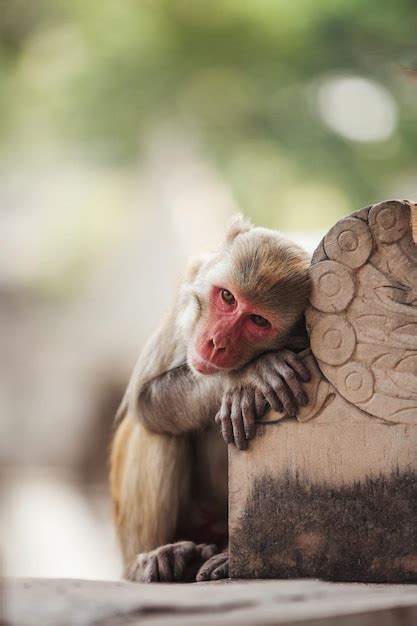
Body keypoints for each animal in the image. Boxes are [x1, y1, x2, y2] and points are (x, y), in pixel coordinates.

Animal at [109, 214, 310, 580]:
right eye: (227, 297)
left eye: (257, 320)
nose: (216, 342)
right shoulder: (191, 281)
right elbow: (144, 401)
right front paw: (250, 374)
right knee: (159, 432)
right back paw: (155, 556)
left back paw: (226, 557)